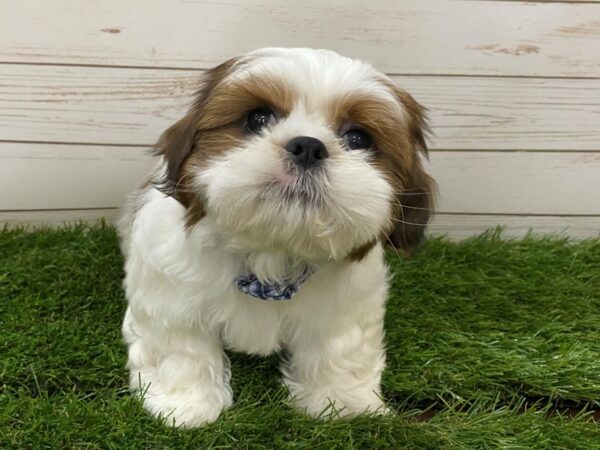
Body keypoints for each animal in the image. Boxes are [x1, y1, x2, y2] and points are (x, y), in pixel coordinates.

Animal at [119, 47, 434, 428]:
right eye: (258, 118)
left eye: (358, 139)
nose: (308, 147)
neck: (271, 252)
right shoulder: (171, 296)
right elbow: (181, 347)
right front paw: (186, 404)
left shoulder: (346, 307)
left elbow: (339, 349)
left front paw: (342, 404)